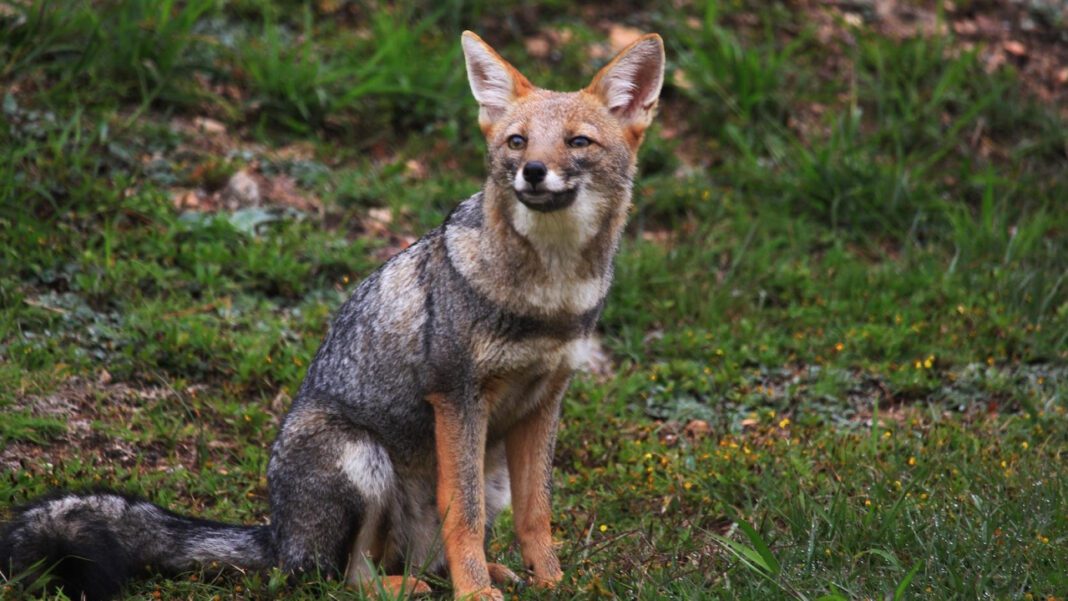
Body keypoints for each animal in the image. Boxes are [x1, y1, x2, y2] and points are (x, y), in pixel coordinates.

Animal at [0, 31, 665, 601]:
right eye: (517, 142)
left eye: (577, 142)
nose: (532, 172)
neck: (549, 295)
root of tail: (275, 534)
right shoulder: (457, 395)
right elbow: (465, 515)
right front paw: (477, 592)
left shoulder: (543, 402)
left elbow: (537, 514)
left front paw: (552, 582)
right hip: (362, 461)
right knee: (337, 576)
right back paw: (411, 584)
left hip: (482, 467)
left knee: (409, 556)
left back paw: (478, 573)